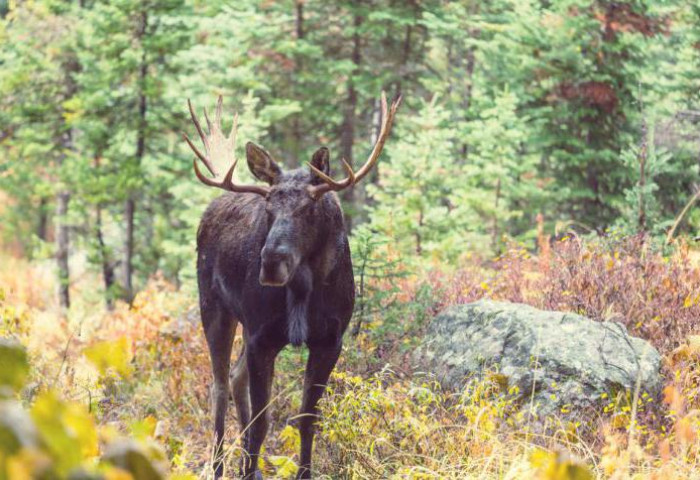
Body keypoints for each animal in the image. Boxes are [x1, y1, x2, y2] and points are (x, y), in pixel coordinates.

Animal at [182, 92, 400, 478]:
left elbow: (306, 418)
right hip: (214, 308)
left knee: (235, 378)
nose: (270, 262)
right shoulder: (261, 337)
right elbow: (262, 422)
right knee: (219, 387)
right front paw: (249, 466)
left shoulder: (330, 340)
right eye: (268, 207)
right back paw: (220, 467)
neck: (303, 291)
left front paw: (299, 471)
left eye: (310, 208)